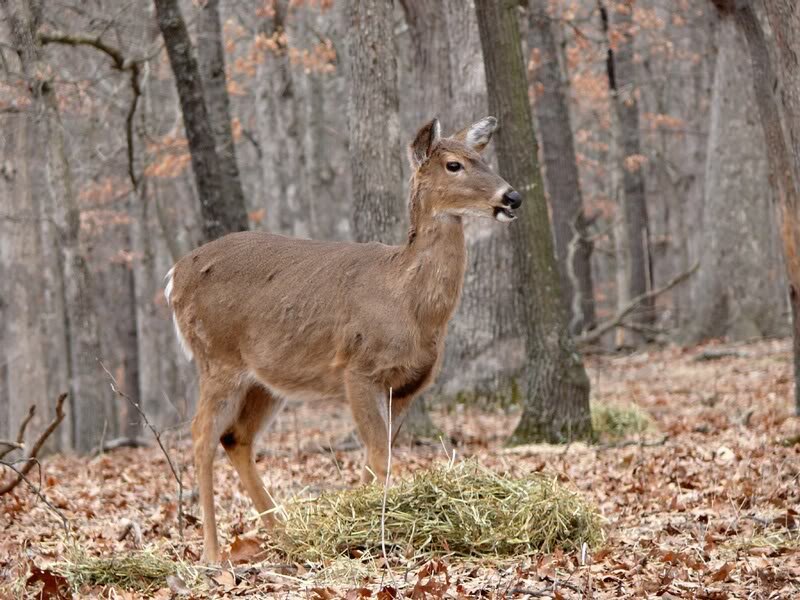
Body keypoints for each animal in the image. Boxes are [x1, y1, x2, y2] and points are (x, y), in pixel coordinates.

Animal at [165, 116, 522, 563]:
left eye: (482, 157)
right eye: (454, 164)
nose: (512, 196)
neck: (407, 301)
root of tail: (174, 276)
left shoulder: (407, 386)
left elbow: (379, 456)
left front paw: (362, 527)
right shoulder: (359, 369)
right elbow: (379, 457)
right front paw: (375, 535)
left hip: (264, 380)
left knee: (236, 438)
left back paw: (286, 537)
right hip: (217, 356)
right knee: (201, 435)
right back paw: (213, 554)